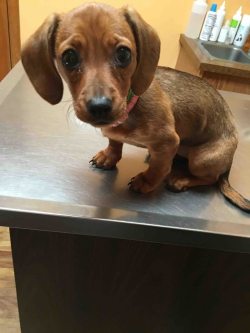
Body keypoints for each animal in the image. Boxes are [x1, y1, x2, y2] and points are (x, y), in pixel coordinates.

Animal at [22, 2, 250, 211]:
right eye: (69, 58)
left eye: (123, 54)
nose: (99, 107)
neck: (130, 107)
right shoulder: (117, 136)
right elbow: (115, 143)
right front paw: (109, 156)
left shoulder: (169, 141)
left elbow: (159, 168)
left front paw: (146, 181)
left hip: (201, 159)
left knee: (210, 179)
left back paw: (182, 179)